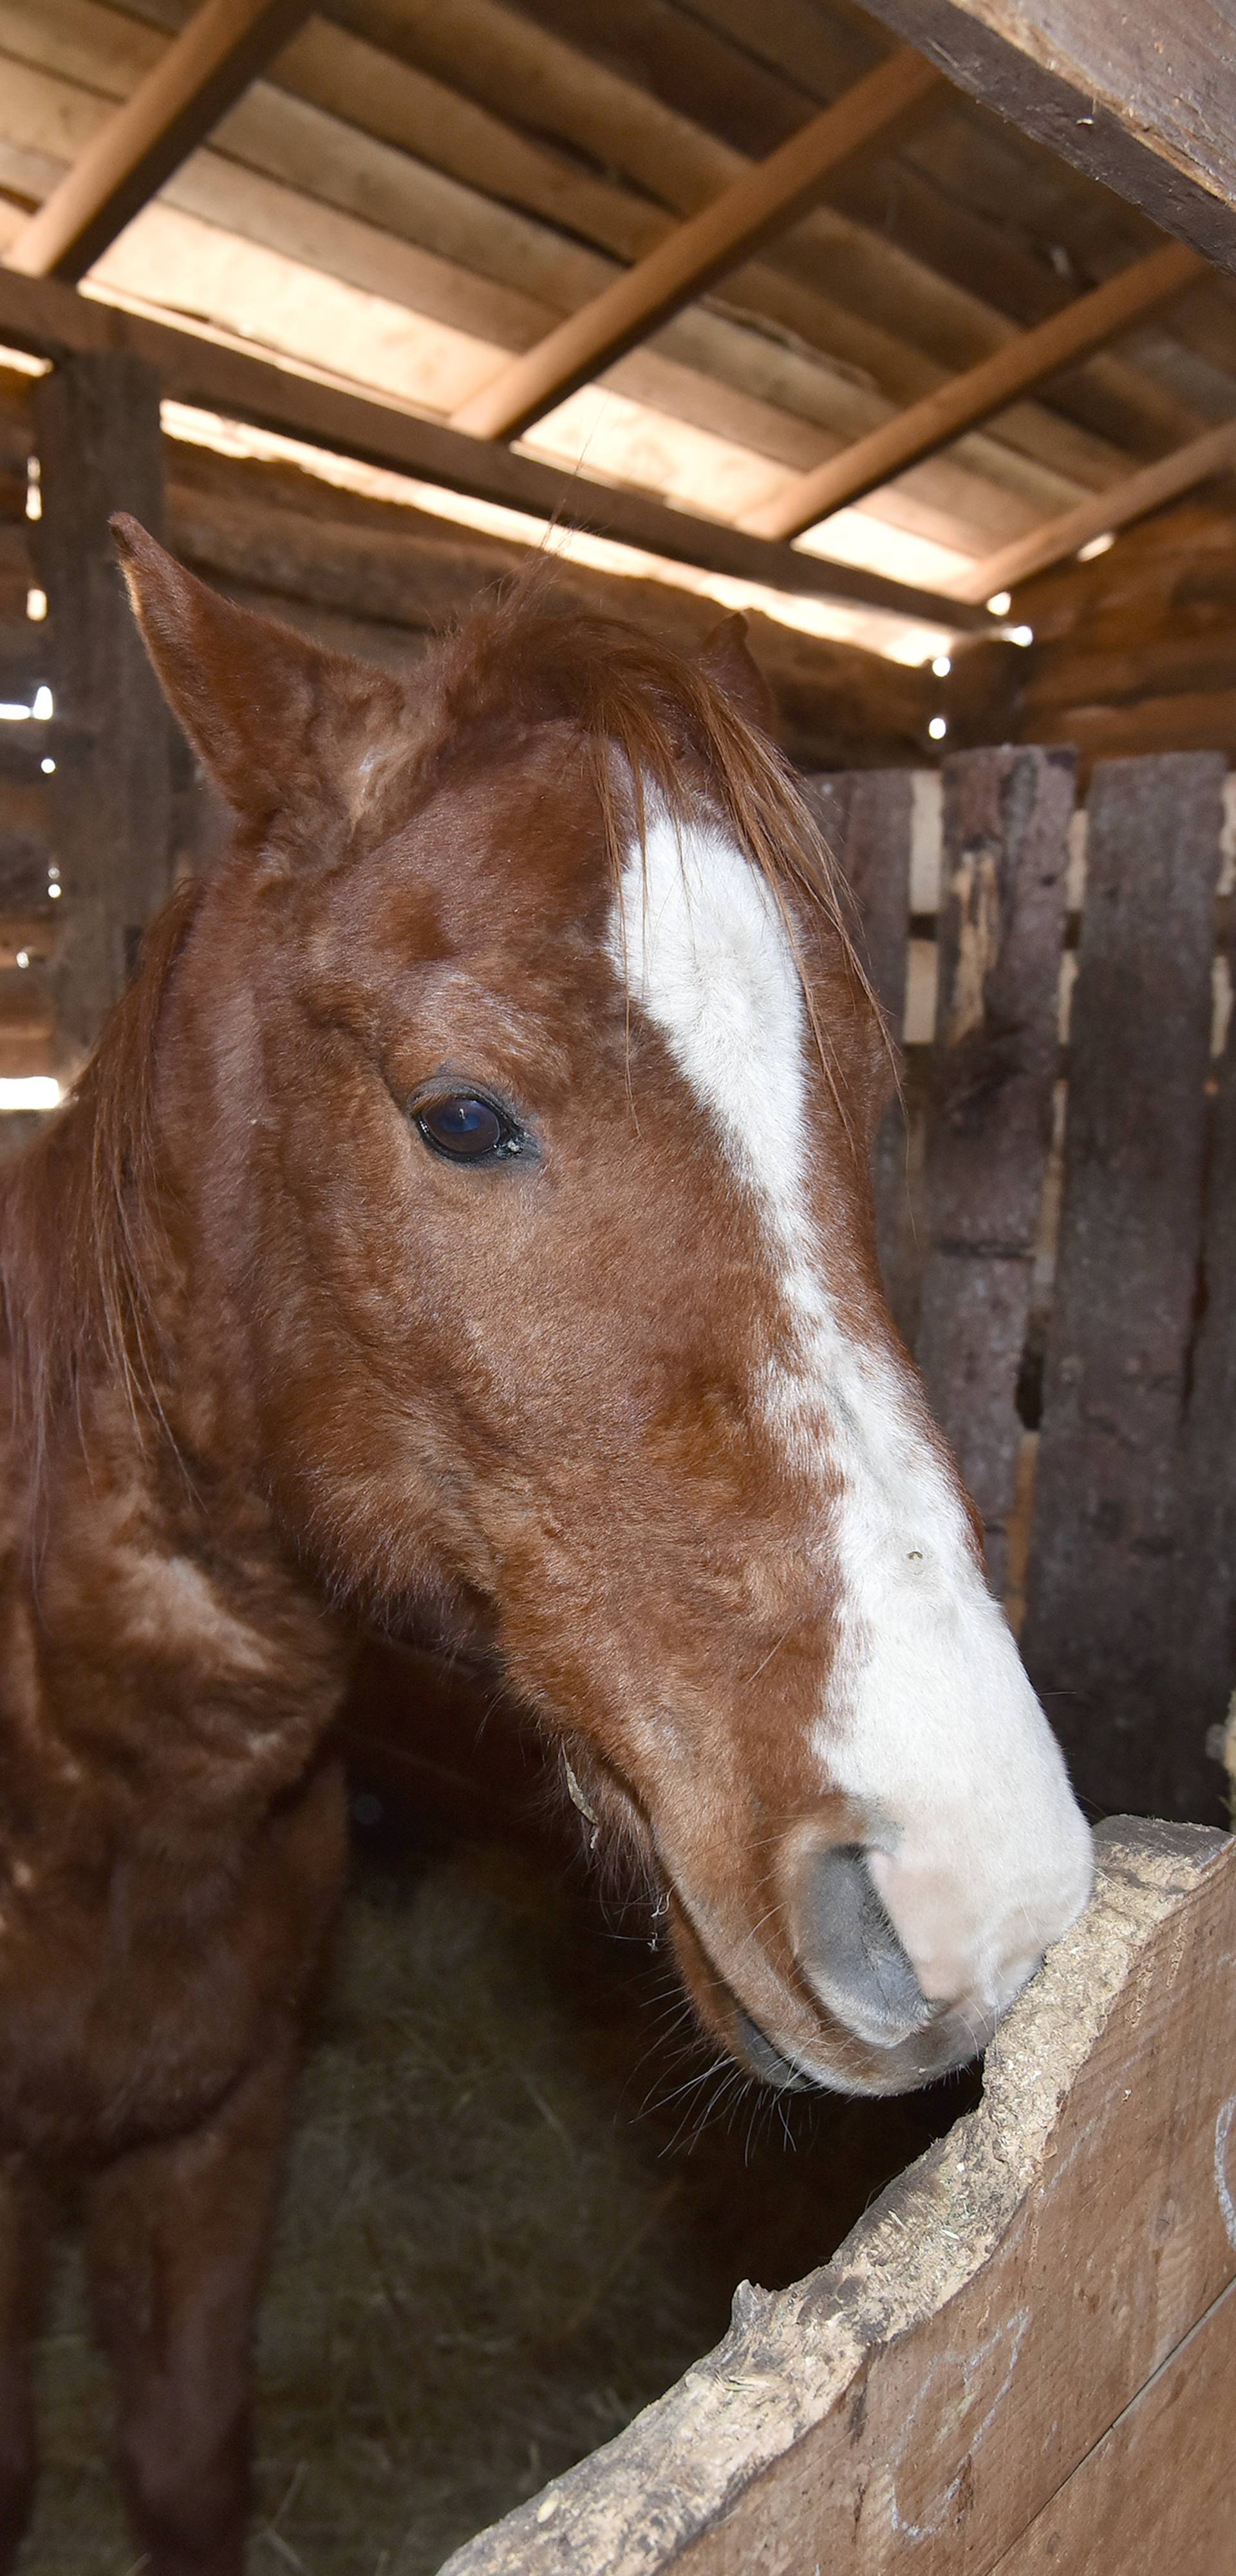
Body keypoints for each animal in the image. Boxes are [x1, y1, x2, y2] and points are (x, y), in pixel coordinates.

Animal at [0, 528, 1092, 2576]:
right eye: (464, 1116)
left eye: (867, 1112)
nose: (974, 1886)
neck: (100, 1770)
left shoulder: (219, 2142)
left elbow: (187, 2468)